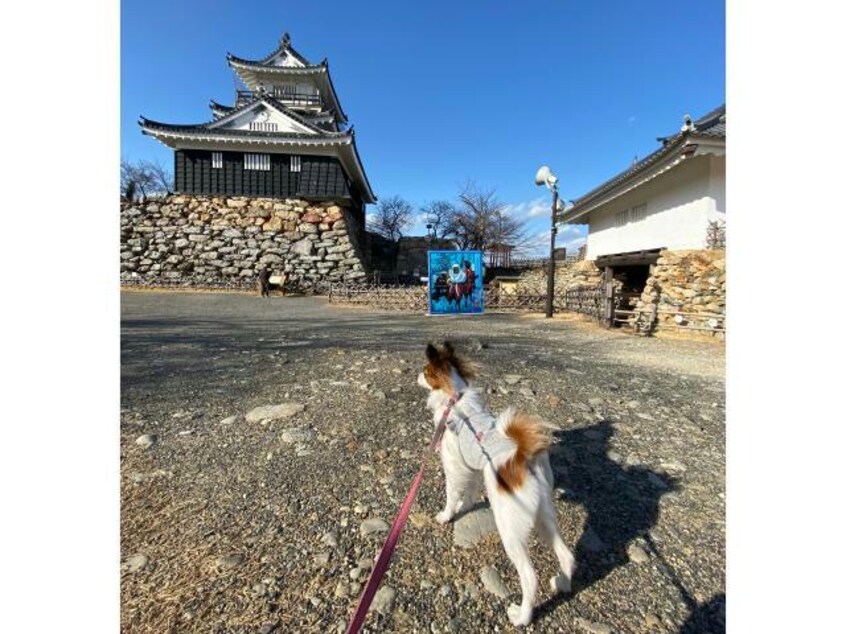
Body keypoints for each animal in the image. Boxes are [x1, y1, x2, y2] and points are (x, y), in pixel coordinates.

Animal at [418, 340, 576, 624]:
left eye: (425, 372)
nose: (416, 374)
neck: (455, 399)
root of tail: (522, 458)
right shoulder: (473, 469)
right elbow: (470, 491)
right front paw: (466, 507)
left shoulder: (453, 466)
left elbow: (452, 494)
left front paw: (447, 515)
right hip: (544, 516)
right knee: (567, 556)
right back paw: (563, 584)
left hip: (510, 529)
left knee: (529, 577)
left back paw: (522, 616)